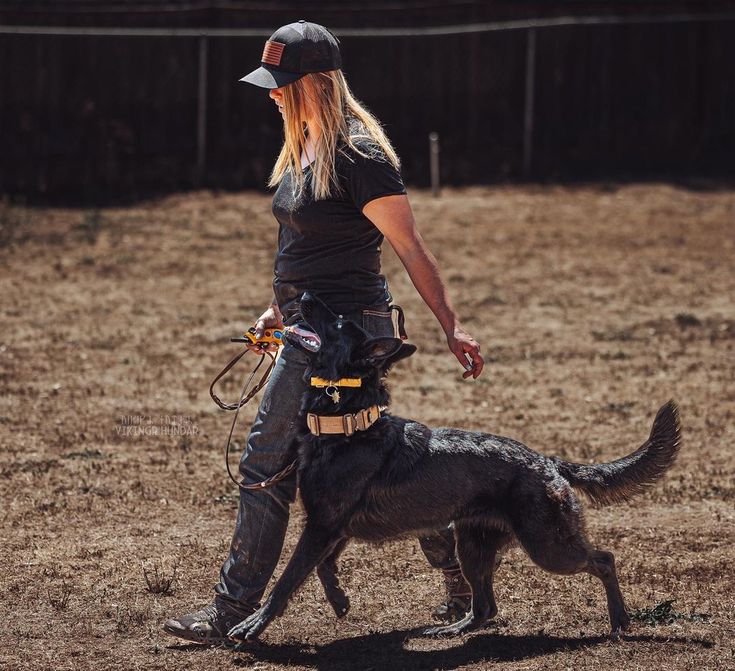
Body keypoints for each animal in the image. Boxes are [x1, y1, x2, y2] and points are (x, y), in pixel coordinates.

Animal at [227, 294, 680, 640]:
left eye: (336, 322)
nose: (302, 295)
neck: (348, 422)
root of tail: (547, 462)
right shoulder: (332, 526)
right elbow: (322, 565)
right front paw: (339, 599)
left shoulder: (322, 525)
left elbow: (286, 579)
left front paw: (253, 624)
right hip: (473, 546)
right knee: (485, 608)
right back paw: (452, 629)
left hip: (547, 546)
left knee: (603, 559)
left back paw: (619, 621)